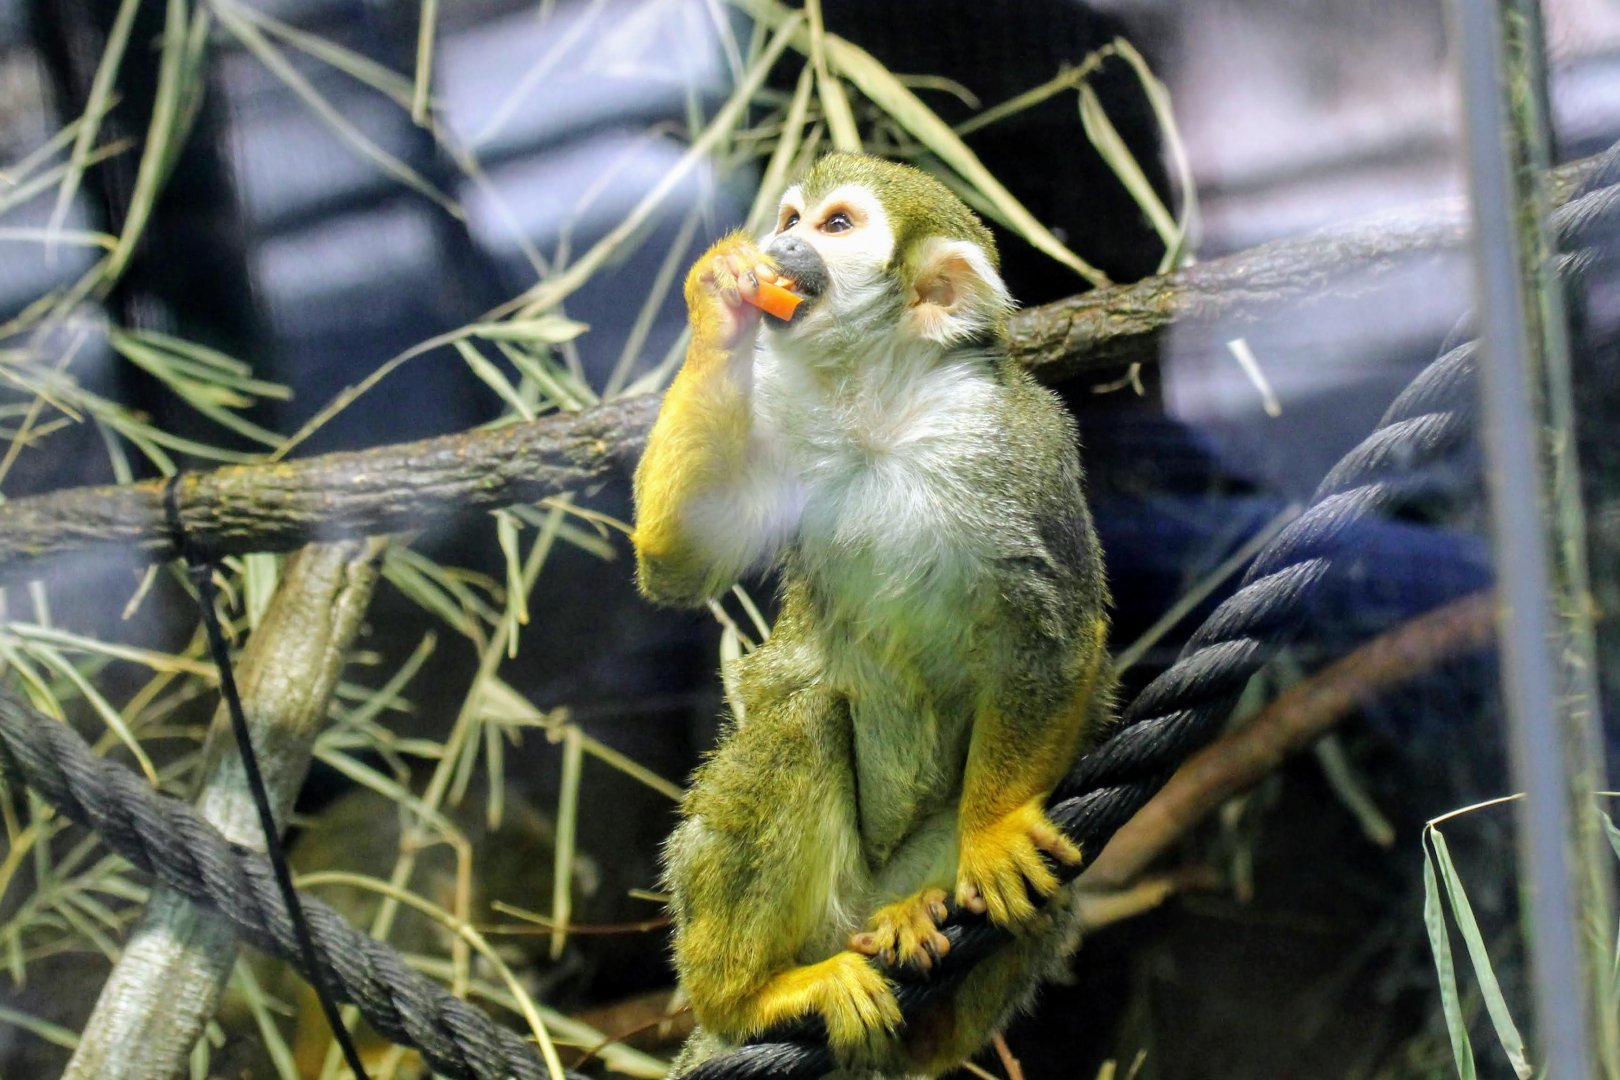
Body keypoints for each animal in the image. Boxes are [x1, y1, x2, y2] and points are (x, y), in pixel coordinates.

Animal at [631, 152, 1113, 1077]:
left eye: (836, 227)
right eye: (792, 217)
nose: (780, 242)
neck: (877, 407)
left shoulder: (1010, 442)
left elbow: (1056, 628)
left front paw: (994, 832)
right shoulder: (777, 413)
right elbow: (679, 561)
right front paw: (719, 299)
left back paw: (914, 934)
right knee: (800, 722)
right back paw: (747, 995)